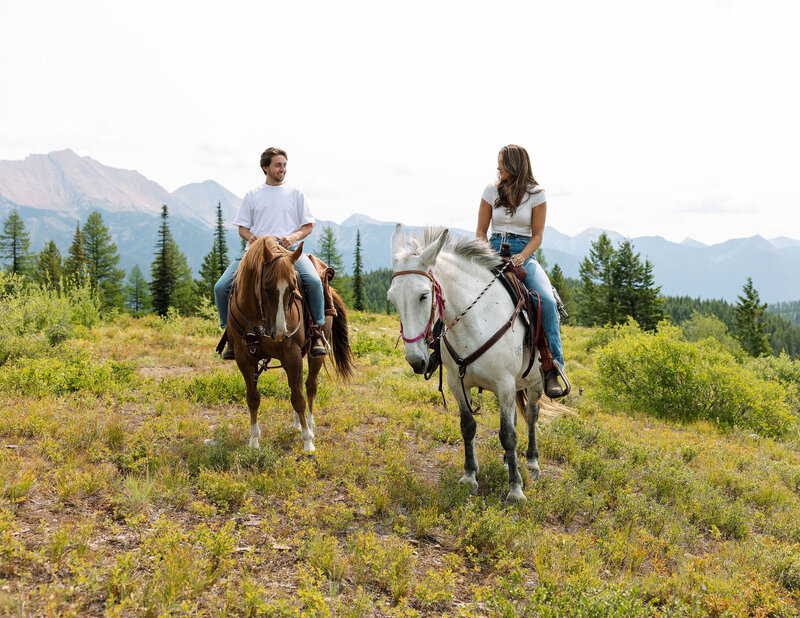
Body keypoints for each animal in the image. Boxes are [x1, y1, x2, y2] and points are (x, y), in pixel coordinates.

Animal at [228, 233, 354, 450]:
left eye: (294, 289)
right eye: (266, 287)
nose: (280, 332)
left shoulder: (291, 355)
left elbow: (298, 398)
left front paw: (308, 441)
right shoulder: (245, 359)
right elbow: (253, 398)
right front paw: (253, 441)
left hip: (314, 353)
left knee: (310, 386)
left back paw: (309, 424)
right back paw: (297, 422)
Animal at [388, 225, 544, 500]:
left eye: (423, 295)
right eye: (392, 299)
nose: (416, 360)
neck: (477, 321)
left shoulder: (504, 385)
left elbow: (508, 435)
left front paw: (515, 489)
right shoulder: (457, 383)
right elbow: (468, 427)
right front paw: (470, 476)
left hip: (534, 383)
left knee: (531, 415)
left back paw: (532, 463)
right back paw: (508, 462)